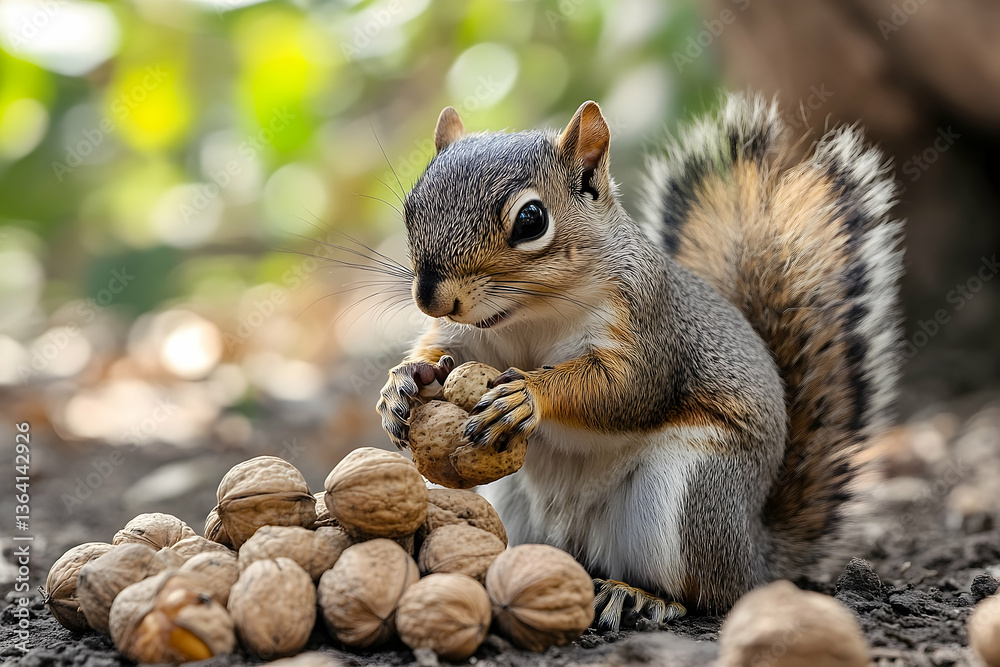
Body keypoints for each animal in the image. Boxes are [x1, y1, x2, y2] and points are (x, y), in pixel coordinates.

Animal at [376, 93, 903, 628]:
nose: (430, 297)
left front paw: (528, 394)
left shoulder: (648, 325)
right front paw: (401, 385)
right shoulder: (468, 339)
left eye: (531, 220)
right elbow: (444, 355)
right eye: (411, 207)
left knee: (704, 594)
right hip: (516, 501)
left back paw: (640, 595)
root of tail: (758, 555)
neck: (530, 316)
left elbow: (632, 389)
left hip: (684, 493)